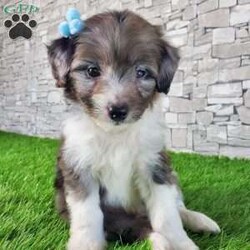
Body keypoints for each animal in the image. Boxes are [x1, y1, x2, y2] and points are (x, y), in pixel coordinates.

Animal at [47, 9, 220, 250]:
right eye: (92, 71)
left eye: (141, 73)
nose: (117, 111)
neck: (116, 134)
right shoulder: (79, 168)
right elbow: (88, 215)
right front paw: (86, 244)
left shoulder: (155, 166)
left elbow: (167, 214)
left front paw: (181, 242)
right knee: (135, 226)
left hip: (172, 176)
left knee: (176, 207)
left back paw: (200, 221)